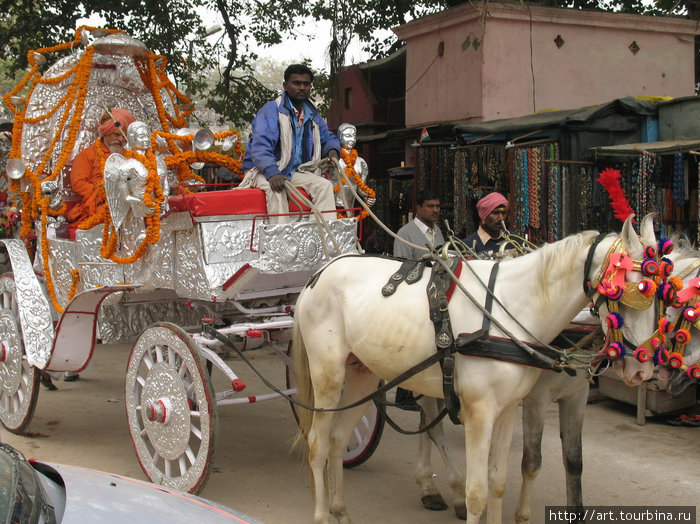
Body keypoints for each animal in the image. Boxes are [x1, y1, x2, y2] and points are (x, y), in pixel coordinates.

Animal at [292, 220, 652, 524]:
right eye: (633, 292)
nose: (643, 368)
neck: (511, 305)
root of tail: (320, 273)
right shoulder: (482, 411)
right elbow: (477, 492)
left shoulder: (509, 409)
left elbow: (499, 482)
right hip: (327, 374)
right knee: (318, 444)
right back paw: (323, 515)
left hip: (363, 374)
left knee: (338, 438)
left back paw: (341, 510)